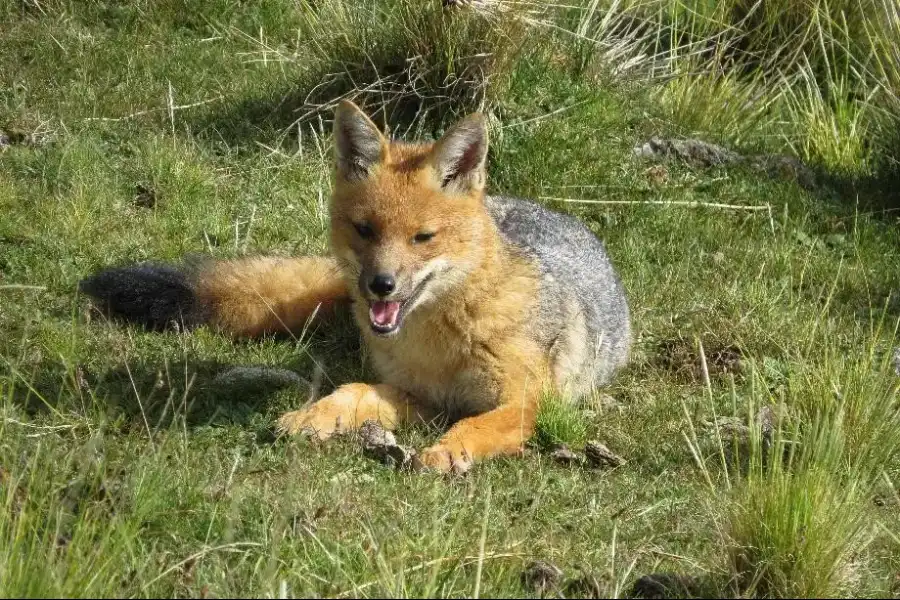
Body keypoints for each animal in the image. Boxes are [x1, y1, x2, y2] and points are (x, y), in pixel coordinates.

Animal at [82, 99, 632, 474]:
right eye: (365, 230)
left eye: (423, 238)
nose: (379, 286)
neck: (441, 344)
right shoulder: (422, 396)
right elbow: (353, 391)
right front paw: (314, 416)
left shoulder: (528, 402)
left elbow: (476, 423)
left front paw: (447, 451)